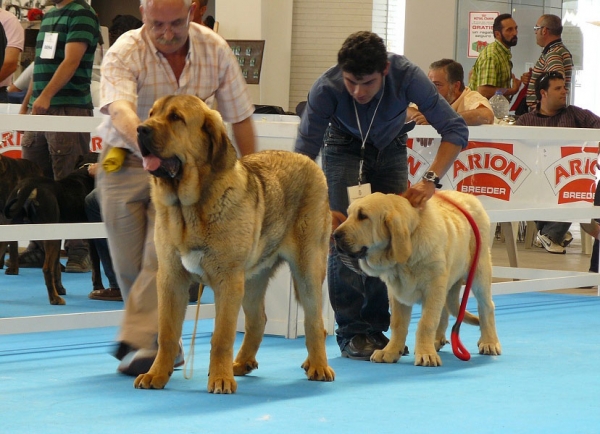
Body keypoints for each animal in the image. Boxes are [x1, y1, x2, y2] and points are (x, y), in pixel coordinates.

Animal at [4, 156, 102, 306]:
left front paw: (60, 288)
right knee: (46, 269)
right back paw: (54, 299)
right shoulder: (92, 235)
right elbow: (96, 266)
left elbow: (57, 268)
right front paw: (98, 288)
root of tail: (29, 185)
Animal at [133, 96, 336, 396]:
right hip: (253, 279)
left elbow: (222, 336)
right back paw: (242, 363)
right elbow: (167, 334)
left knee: (314, 321)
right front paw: (156, 374)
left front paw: (220, 379)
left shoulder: (227, 280)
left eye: (176, 118)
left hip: (307, 269)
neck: (190, 208)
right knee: (258, 320)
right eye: (151, 114)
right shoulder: (171, 279)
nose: (140, 129)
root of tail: (309, 162)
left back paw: (318, 366)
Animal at [336, 192, 500, 366]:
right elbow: (398, 324)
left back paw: (489, 342)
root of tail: (468, 196)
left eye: (363, 216)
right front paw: (390, 351)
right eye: (349, 214)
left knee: (486, 306)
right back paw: (436, 340)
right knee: (444, 311)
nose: (335, 235)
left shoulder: (433, 288)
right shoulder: (397, 292)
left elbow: (427, 322)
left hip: (479, 271)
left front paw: (426, 353)